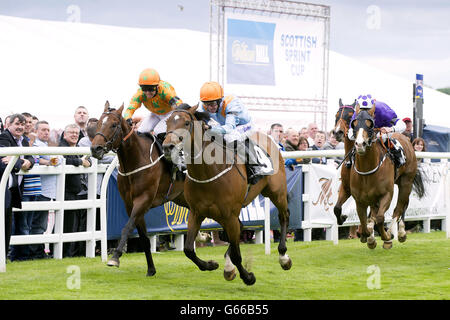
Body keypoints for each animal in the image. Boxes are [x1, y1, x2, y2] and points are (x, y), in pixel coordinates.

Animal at [89, 101, 188, 276]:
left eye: (113, 124)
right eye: (99, 123)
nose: (96, 149)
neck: (135, 160)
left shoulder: (143, 200)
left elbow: (127, 227)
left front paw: (115, 257)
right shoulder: (130, 204)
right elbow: (143, 238)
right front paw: (151, 269)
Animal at [162, 104, 292, 284]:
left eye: (187, 123)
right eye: (167, 122)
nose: (168, 147)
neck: (208, 172)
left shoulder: (229, 215)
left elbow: (237, 255)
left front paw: (248, 277)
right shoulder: (196, 213)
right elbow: (188, 249)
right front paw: (211, 264)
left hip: (276, 192)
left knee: (283, 216)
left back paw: (283, 256)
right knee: (241, 227)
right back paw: (228, 266)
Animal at [348, 104, 426, 249]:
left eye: (370, 124)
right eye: (354, 124)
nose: (360, 144)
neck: (368, 170)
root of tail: (407, 138)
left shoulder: (387, 194)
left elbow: (380, 218)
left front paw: (387, 237)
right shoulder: (360, 200)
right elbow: (364, 222)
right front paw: (369, 237)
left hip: (406, 182)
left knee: (400, 207)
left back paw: (398, 233)